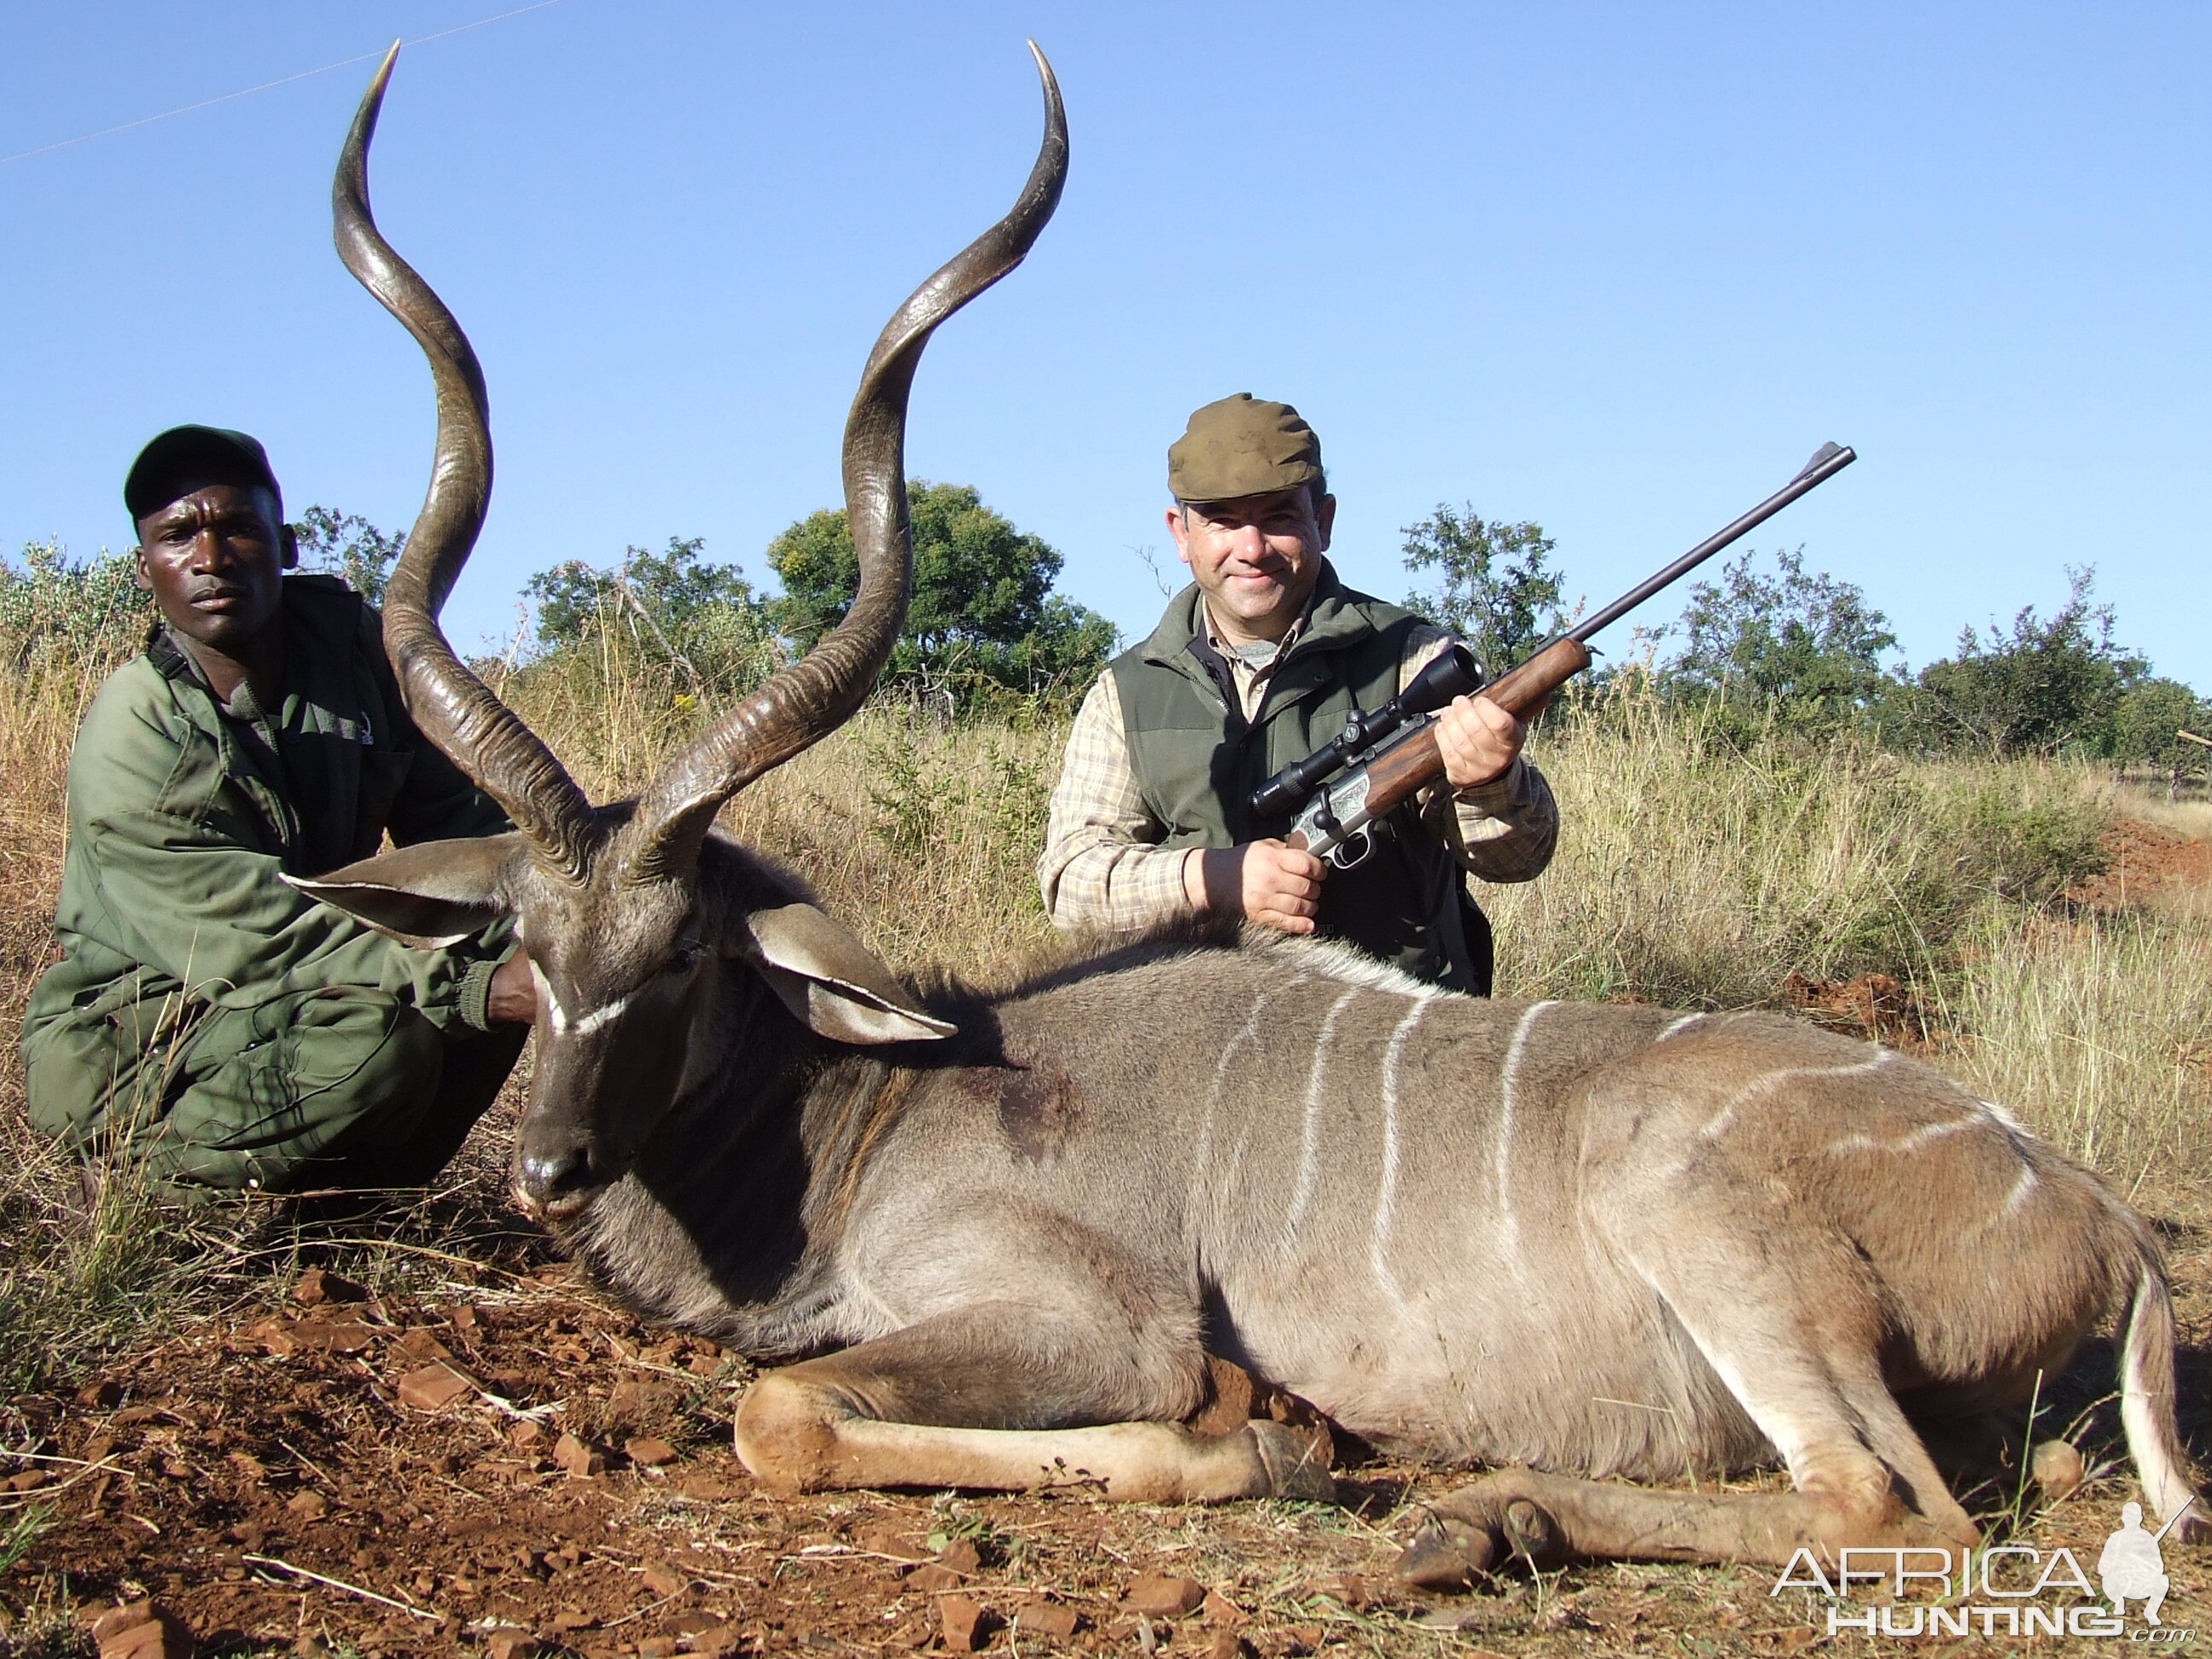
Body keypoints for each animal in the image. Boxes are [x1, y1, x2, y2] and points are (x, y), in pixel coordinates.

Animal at [303, 49, 2203, 1583]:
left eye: (685, 948)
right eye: (528, 944)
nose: (547, 1168)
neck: (875, 1114)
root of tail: (2103, 1218)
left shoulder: (1091, 1313)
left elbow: (798, 1418)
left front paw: (1268, 1431)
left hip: (1710, 1231)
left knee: (1894, 1511)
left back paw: (1475, 1509)